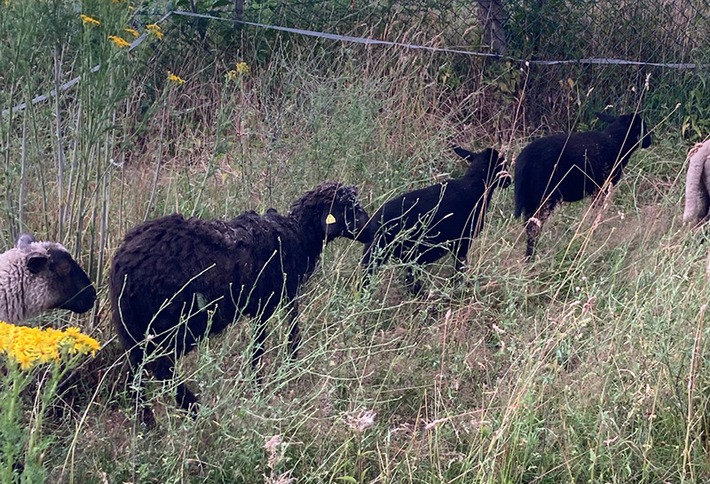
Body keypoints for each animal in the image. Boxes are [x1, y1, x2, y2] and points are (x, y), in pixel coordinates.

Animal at [362, 146, 512, 294]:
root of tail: (372, 223)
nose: (509, 180)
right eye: (503, 165)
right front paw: (460, 287)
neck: (474, 187)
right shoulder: (462, 242)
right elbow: (460, 268)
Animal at [516, 112, 652, 260]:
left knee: (528, 225)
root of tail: (524, 160)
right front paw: (592, 232)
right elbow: (595, 213)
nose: (649, 140)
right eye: (643, 126)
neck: (616, 142)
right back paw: (531, 257)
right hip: (545, 197)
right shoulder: (601, 188)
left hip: (530, 199)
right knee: (534, 227)